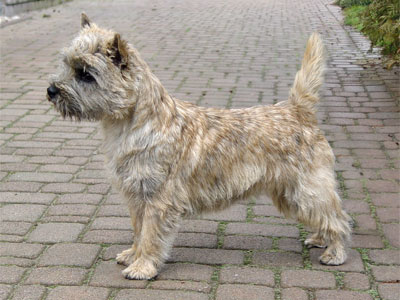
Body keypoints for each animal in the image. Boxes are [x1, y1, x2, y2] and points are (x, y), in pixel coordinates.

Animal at [48, 13, 352, 282]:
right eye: (66, 64)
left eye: (85, 74)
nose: (51, 90)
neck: (129, 126)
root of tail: (298, 110)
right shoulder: (136, 196)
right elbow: (138, 230)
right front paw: (133, 255)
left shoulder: (158, 199)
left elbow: (150, 235)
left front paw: (143, 267)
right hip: (290, 193)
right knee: (325, 216)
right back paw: (319, 239)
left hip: (306, 187)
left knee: (337, 217)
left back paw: (334, 252)